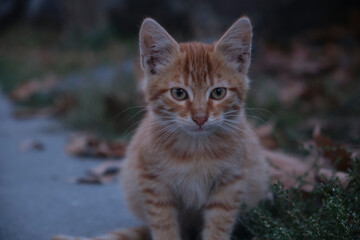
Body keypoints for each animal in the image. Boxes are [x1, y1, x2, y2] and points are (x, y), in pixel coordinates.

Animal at [52, 16, 268, 240]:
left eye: (218, 92)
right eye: (179, 93)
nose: (200, 118)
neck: (196, 150)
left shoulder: (230, 184)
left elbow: (218, 227)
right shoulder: (153, 184)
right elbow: (164, 226)